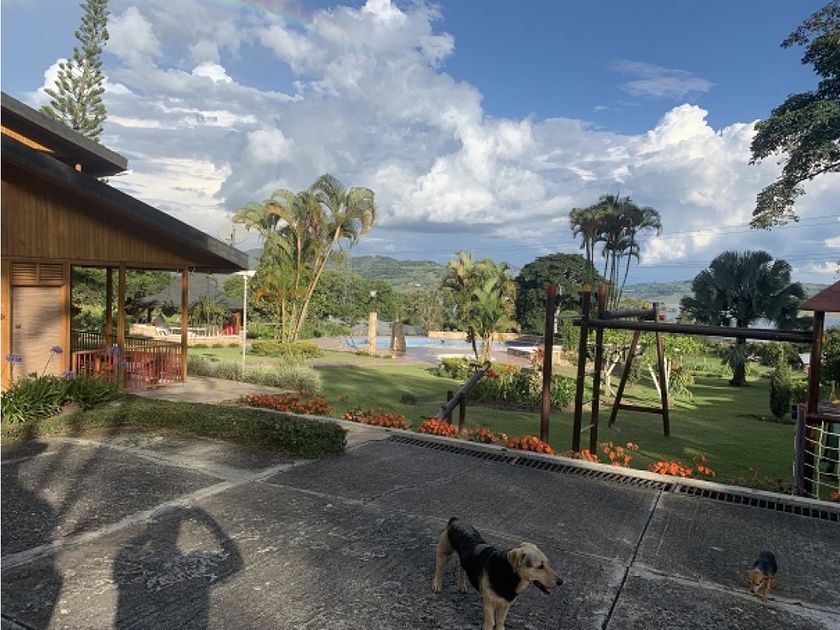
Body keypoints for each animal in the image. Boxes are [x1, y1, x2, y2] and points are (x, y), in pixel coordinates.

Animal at [432, 517, 561, 630]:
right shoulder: (489, 604)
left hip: (463, 559)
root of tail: (455, 520)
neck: (509, 575)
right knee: (439, 570)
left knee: (461, 568)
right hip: (444, 553)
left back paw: (462, 585)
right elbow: (490, 622)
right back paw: (436, 585)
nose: (561, 581)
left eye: (548, 563)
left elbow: (500, 623)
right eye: (540, 566)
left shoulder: (505, 605)